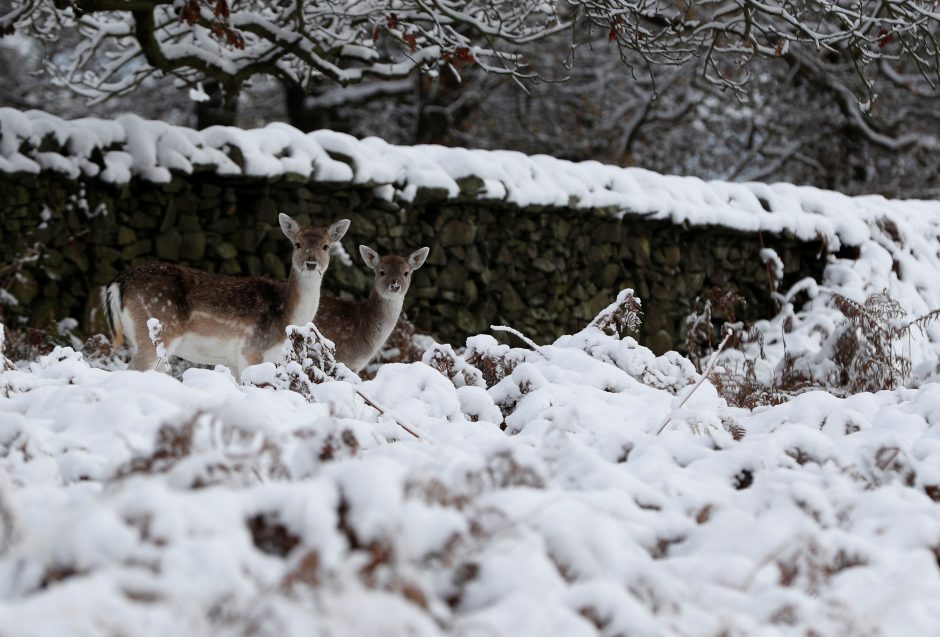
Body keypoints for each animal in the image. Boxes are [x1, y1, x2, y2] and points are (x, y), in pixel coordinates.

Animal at [103, 214, 350, 372]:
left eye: (326, 246)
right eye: (297, 244)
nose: (311, 263)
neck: (288, 314)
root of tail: (117, 283)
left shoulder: (233, 360)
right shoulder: (252, 350)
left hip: (137, 338)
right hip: (157, 332)